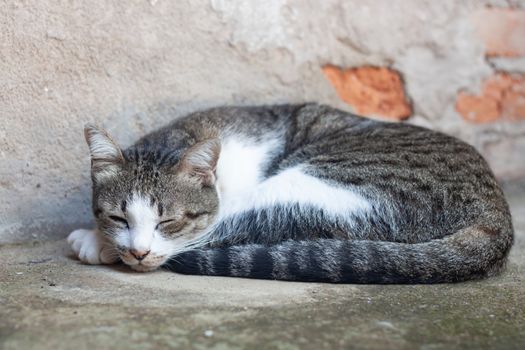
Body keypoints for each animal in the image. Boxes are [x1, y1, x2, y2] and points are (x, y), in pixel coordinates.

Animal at [67, 102, 512, 284]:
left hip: (314, 187)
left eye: (168, 220)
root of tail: (496, 212)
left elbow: (198, 232)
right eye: (119, 216)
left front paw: (97, 241)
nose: (138, 251)